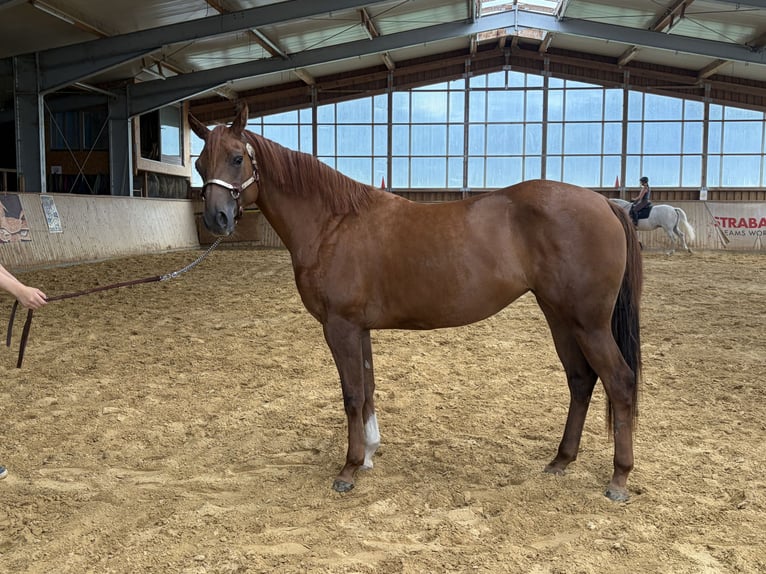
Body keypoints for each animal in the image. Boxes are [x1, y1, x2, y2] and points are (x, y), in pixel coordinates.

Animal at [189, 104, 643, 502]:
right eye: (198, 165)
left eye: (236, 158)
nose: (216, 220)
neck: (333, 223)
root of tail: (604, 202)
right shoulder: (359, 328)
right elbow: (368, 389)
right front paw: (369, 455)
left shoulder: (339, 326)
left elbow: (351, 395)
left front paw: (348, 469)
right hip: (560, 316)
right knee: (581, 380)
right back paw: (560, 461)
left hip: (588, 322)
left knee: (619, 381)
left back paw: (619, 479)